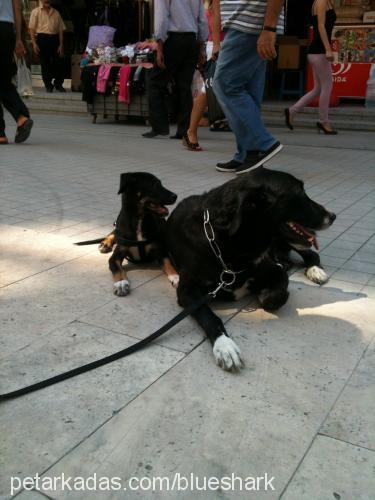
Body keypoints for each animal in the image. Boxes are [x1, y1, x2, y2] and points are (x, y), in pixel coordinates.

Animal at [166, 167, 336, 372]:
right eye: (298, 192)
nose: (333, 216)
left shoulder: (273, 270)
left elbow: (277, 293)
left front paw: (266, 294)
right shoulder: (187, 292)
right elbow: (210, 316)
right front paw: (225, 346)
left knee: (311, 254)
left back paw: (314, 270)